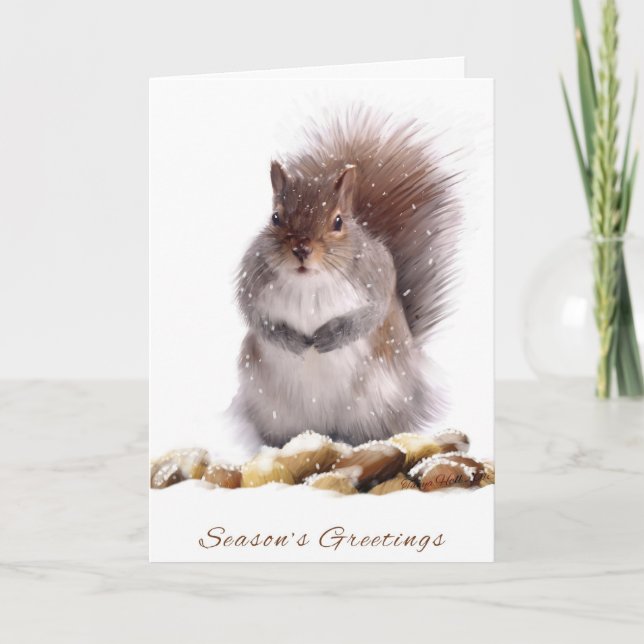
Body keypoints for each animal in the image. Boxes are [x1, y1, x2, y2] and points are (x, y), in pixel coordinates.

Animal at [229, 106, 461, 447]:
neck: (309, 281)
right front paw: (291, 340)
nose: (302, 248)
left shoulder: (377, 274)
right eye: (276, 217)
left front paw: (332, 335)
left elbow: (373, 312)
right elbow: (254, 315)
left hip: (378, 402)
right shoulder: (251, 277)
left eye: (338, 221)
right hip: (271, 409)